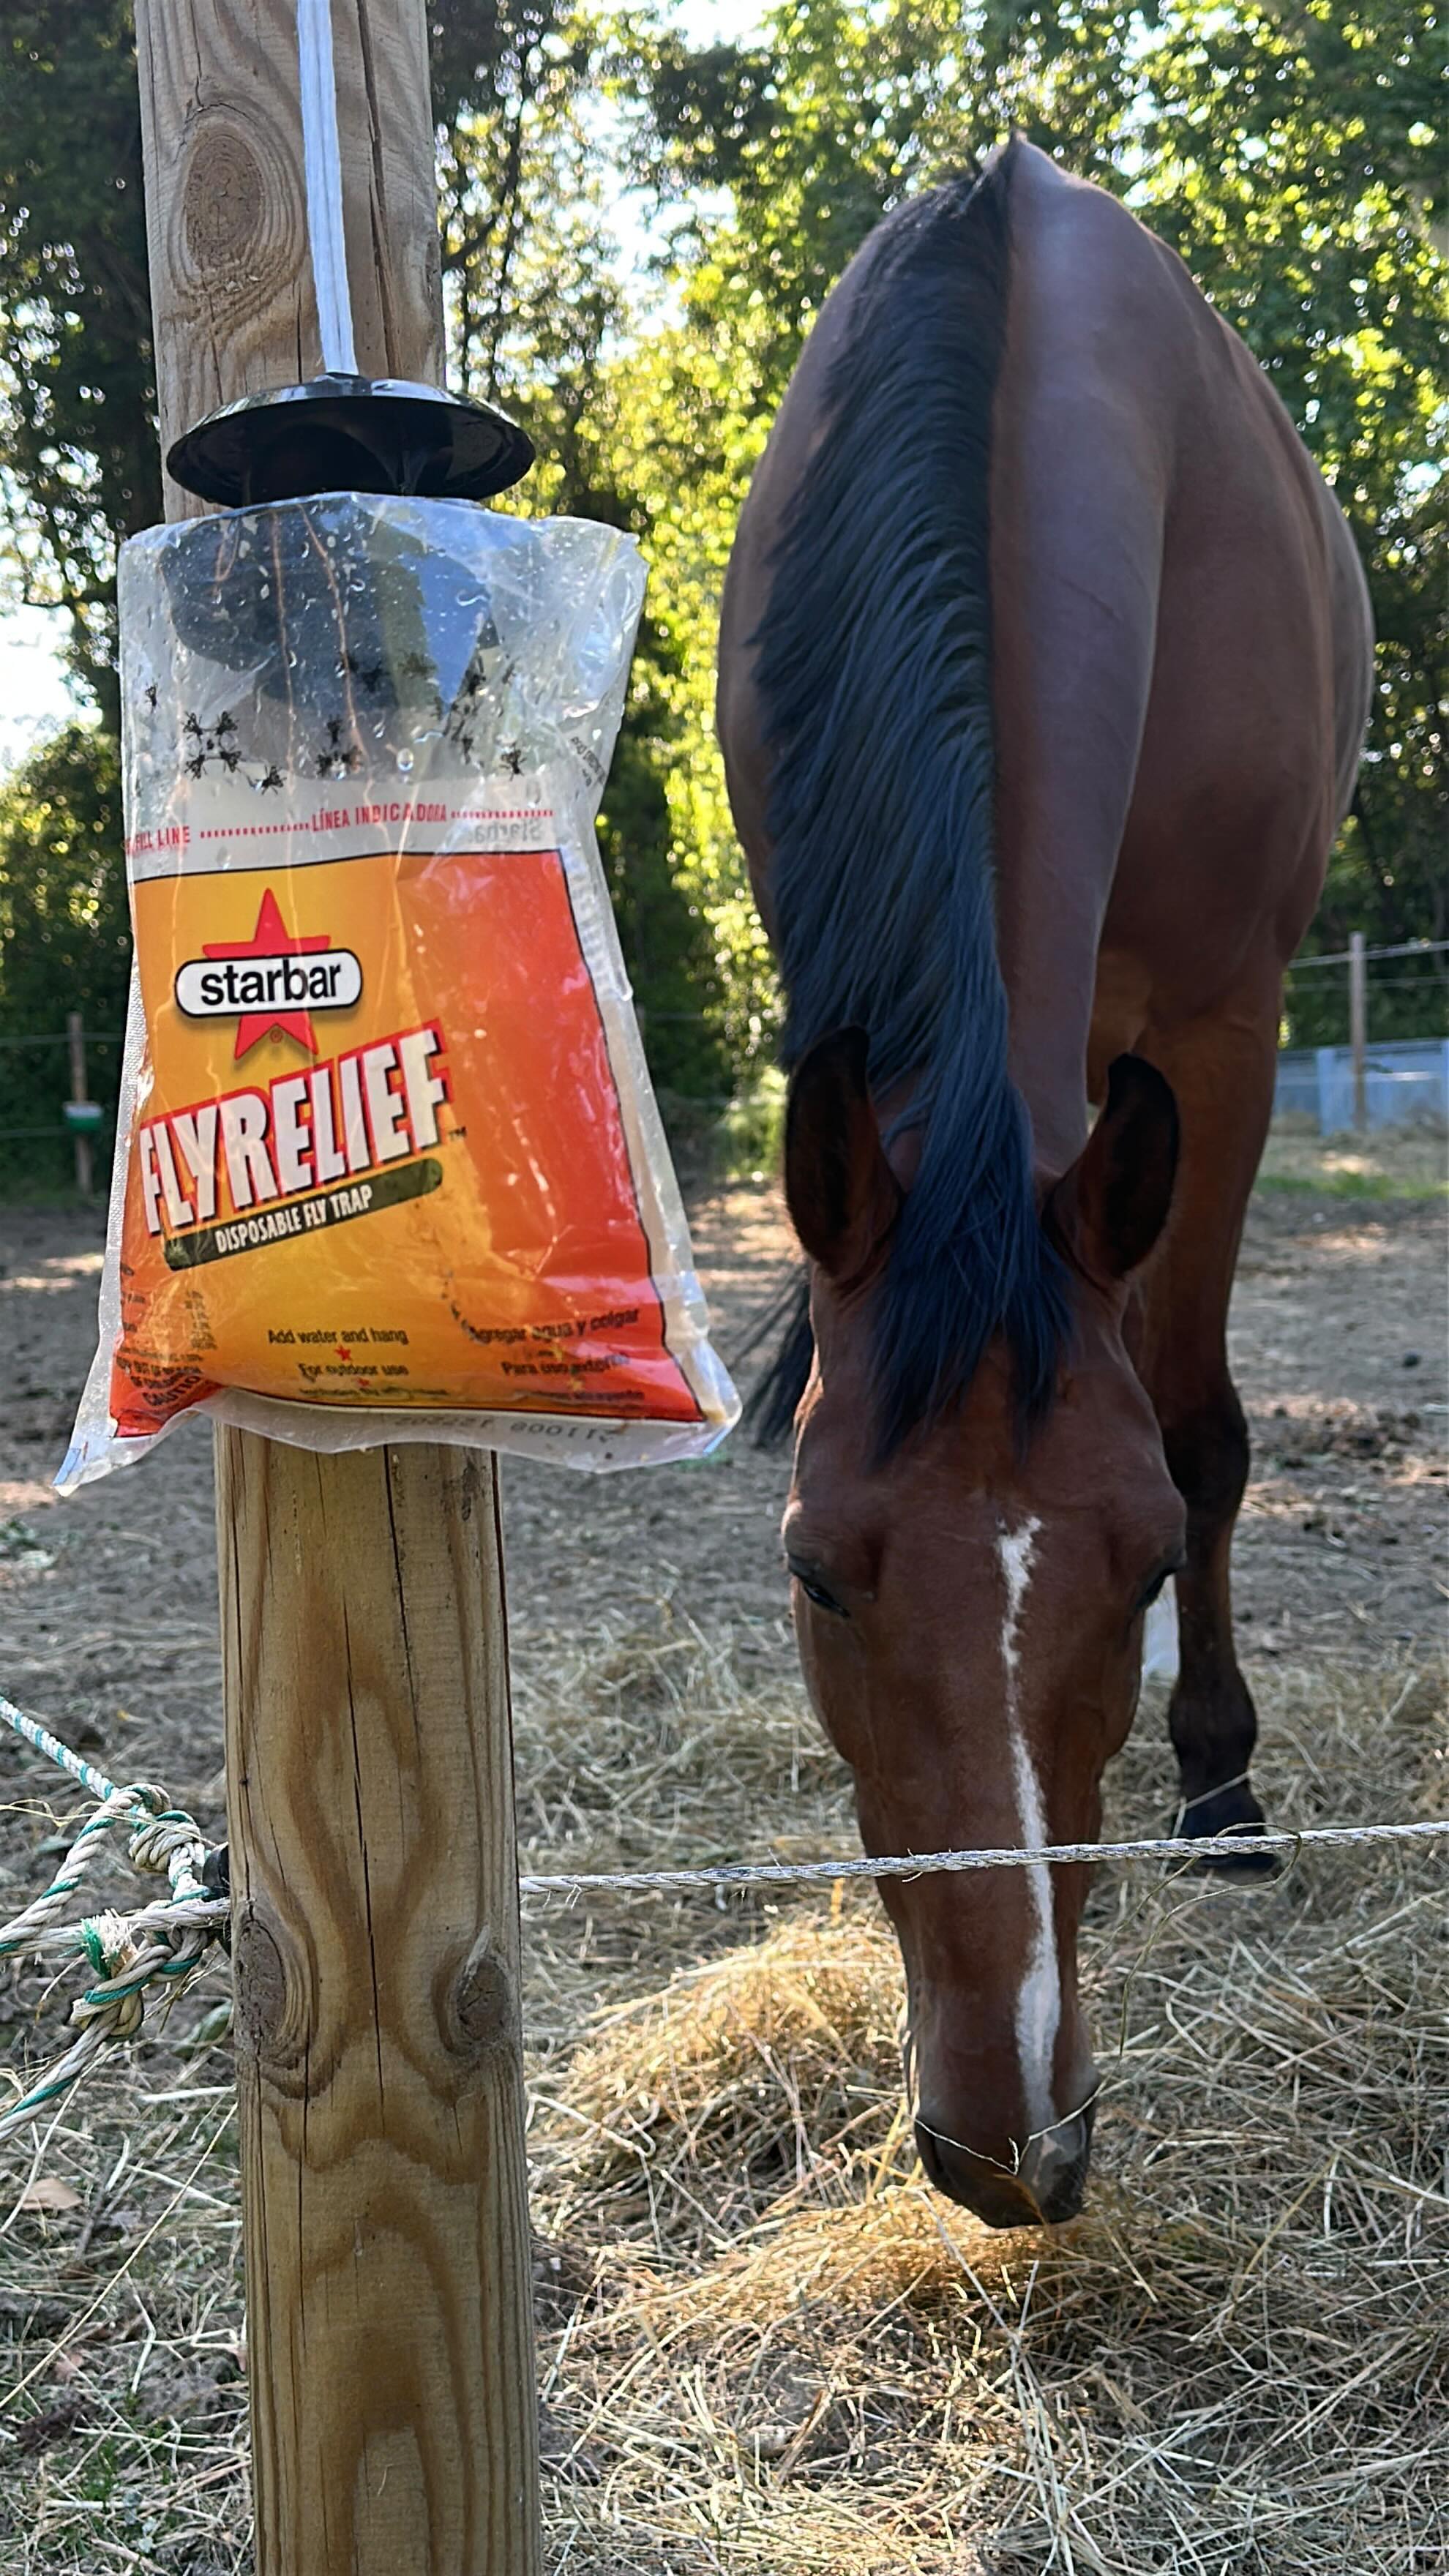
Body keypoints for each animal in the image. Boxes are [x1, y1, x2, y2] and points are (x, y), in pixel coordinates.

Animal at [715, 135, 1373, 2229]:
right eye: (813, 1572)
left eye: (1141, 1556)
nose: (1010, 2143)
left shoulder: (1226, 1024)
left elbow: (1206, 1425)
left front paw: (1220, 1778)